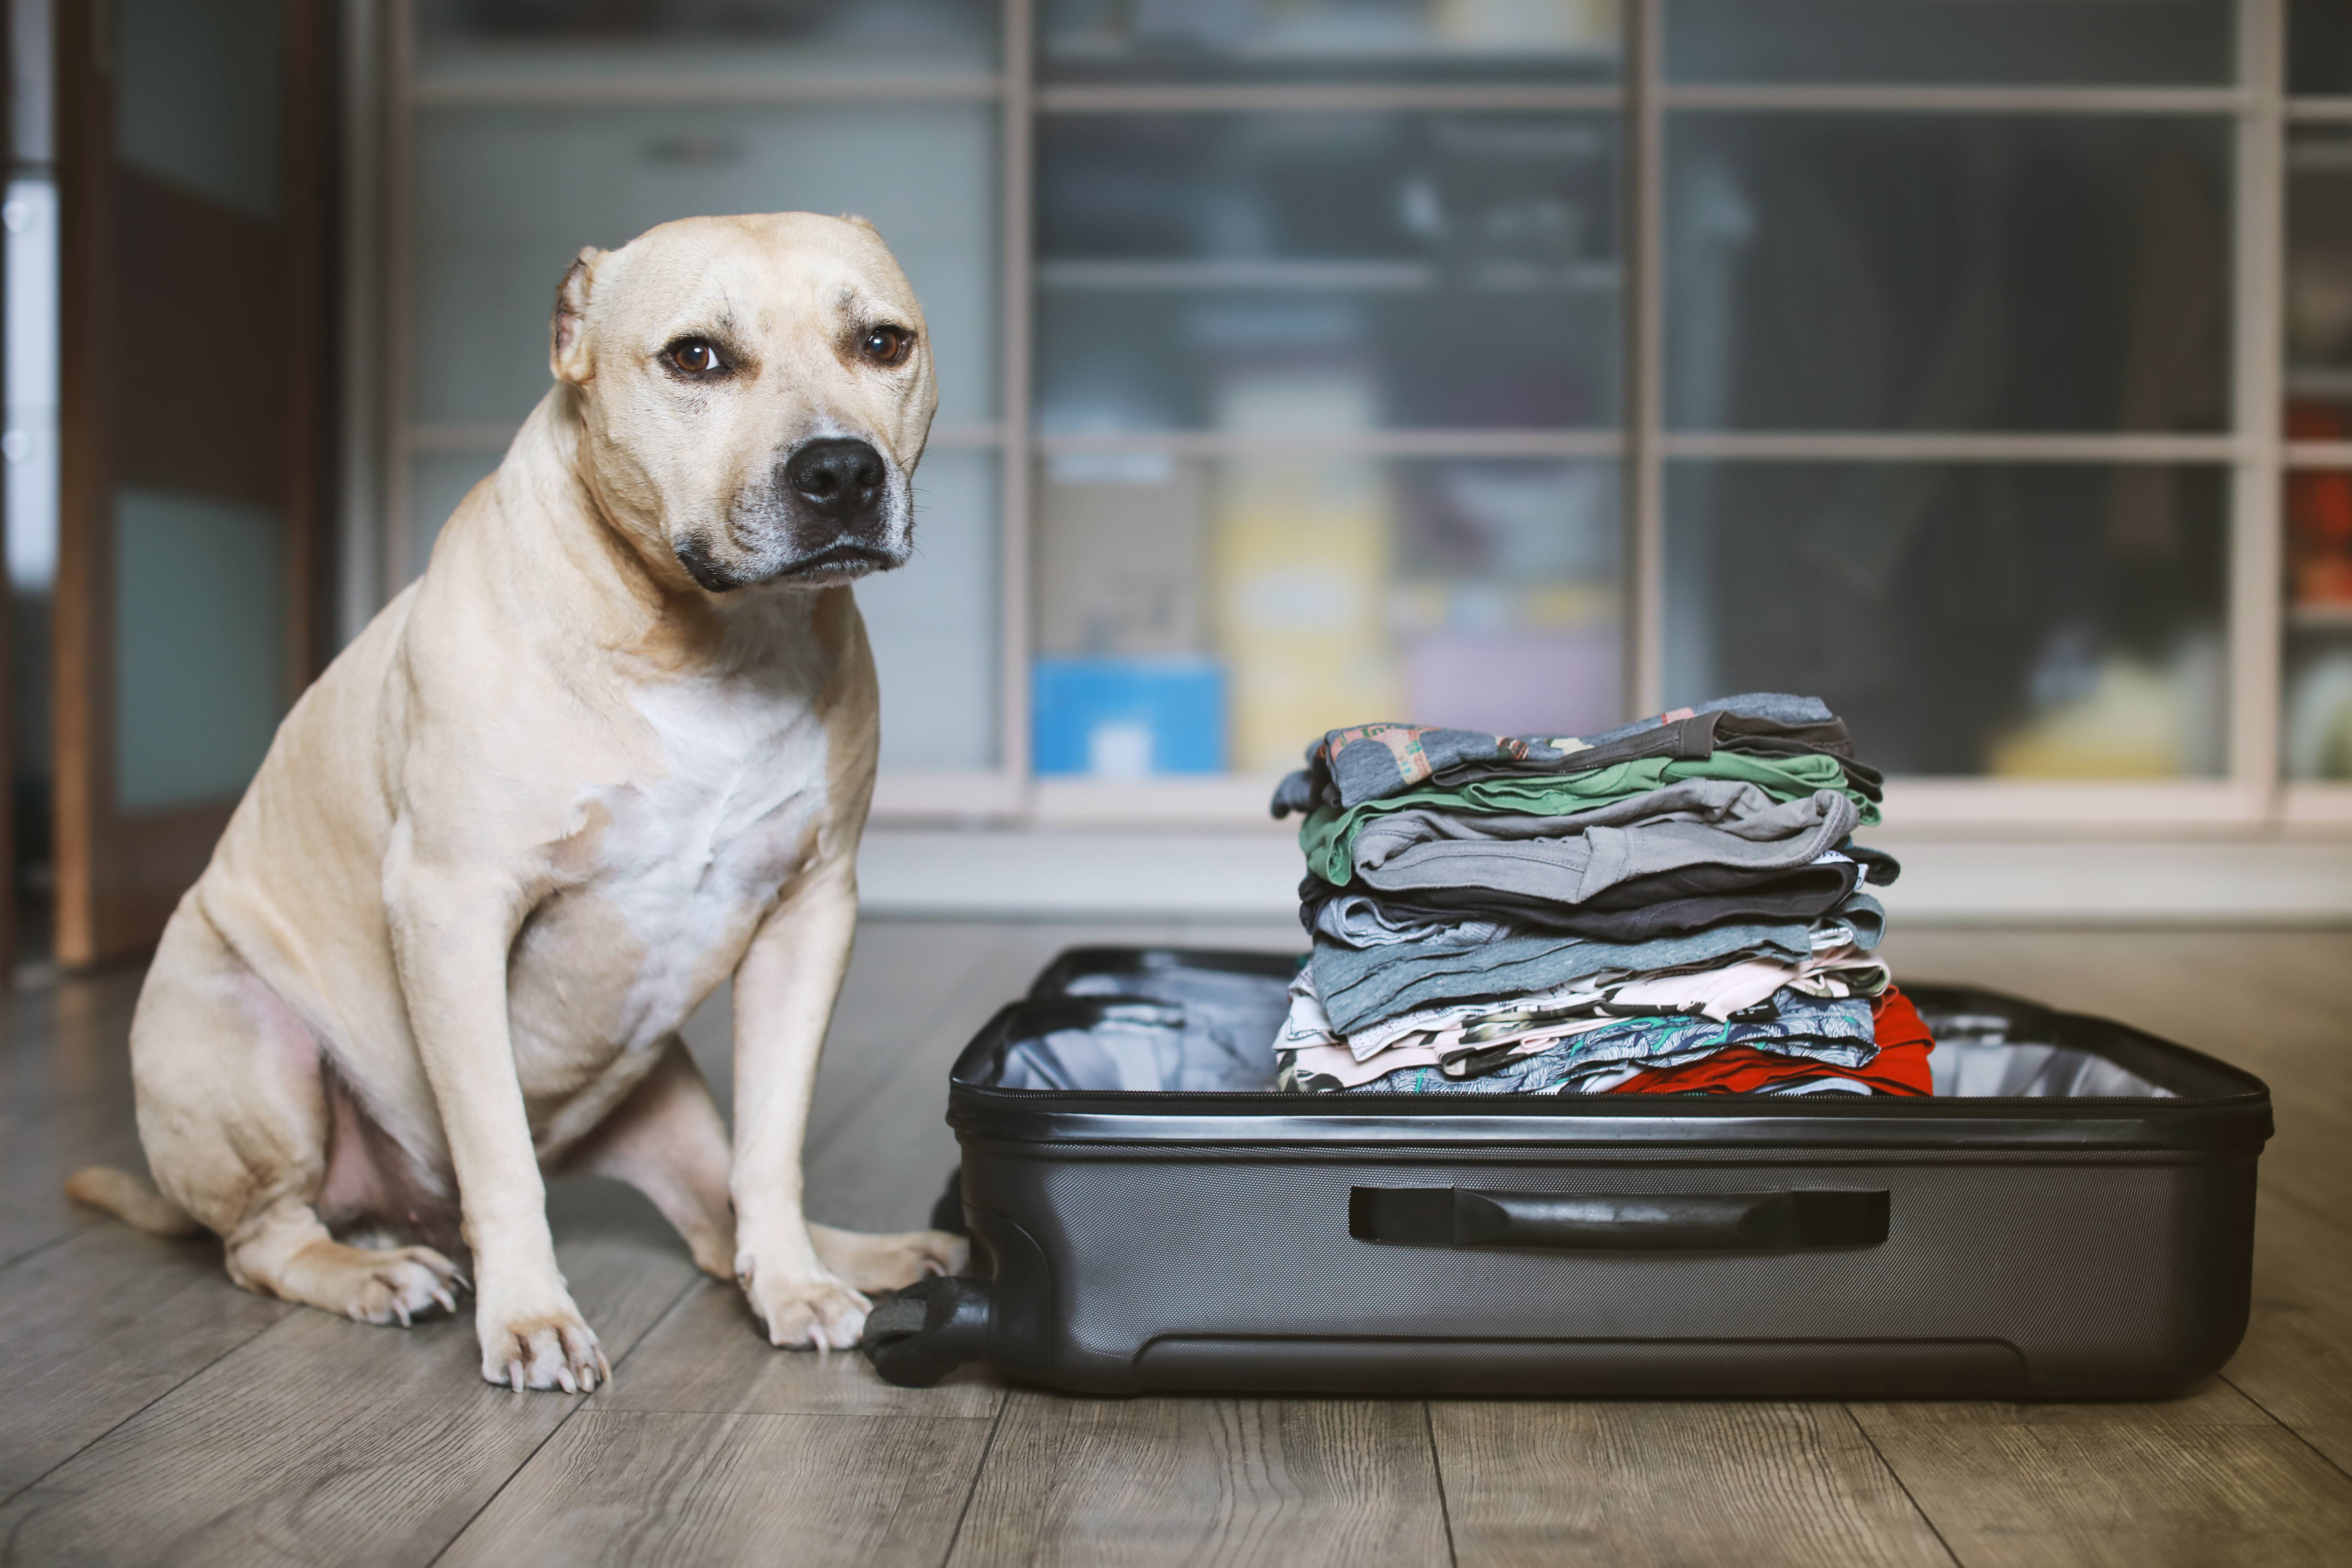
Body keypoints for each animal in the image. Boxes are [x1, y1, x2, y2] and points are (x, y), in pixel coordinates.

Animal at [66, 211, 964, 1401]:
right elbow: (496, 1152)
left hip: (667, 1107)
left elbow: (773, 1143)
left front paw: (796, 1283)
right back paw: (373, 1273)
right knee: (264, 1240)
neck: (705, 640)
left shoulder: (810, 914)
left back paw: (854, 1253)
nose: (841, 469)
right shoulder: (453, 911)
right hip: (250, 1048)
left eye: (881, 343)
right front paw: (531, 1316)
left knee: (716, 1212)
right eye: (695, 358)